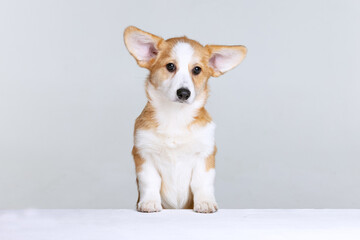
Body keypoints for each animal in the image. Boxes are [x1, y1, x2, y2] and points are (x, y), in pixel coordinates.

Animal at [124, 26, 248, 214]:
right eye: (170, 66)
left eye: (197, 70)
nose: (184, 93)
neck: (176, 116)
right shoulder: (144, 154)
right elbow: (150, 182)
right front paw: (149, 202)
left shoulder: (205, 155)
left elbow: (201, 183)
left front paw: (205, 202)